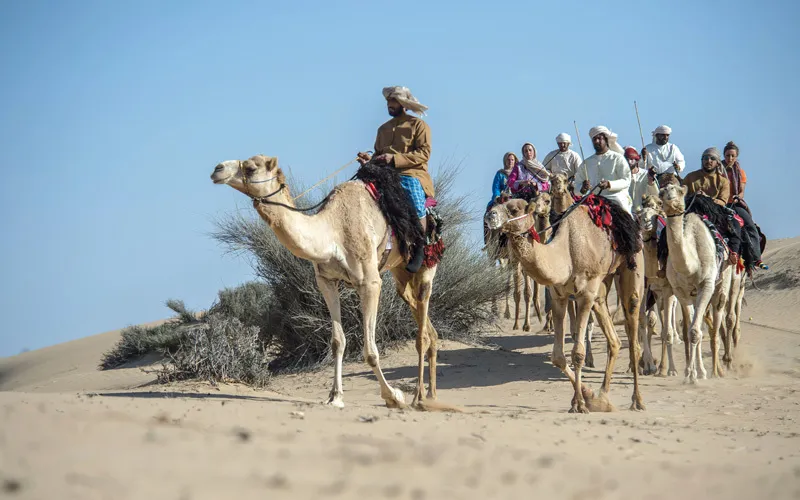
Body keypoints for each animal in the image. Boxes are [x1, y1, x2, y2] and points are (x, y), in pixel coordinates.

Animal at [212, 156, 444, 410]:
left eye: (251, 167)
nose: (217, 169)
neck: (332, 233)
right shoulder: (326, 281)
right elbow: (337, 341)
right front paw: (335, 397)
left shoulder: (370, 282)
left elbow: (370, 351)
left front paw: (393, 396)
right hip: (400, 273)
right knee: (425, 325)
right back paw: (431, 394)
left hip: (425, 268)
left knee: (421, 332)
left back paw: (418, 397)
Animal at [484, 197, 648, 412]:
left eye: (514, 209)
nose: (489, 215)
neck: (565, 253)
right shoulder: (559, 297)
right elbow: (557, 357)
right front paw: (586, 395)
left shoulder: (585, 295)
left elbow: (577, 353)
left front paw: (579, 404)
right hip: (601, 289)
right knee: (614, 340)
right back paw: (602, 399)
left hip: (632, 264)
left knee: (634, 329)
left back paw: (637, 400)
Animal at [656, 184, 732, 382]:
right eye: (662, 192)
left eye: (679, 191)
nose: (671, 200)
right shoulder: (680, 291)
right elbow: (691, 330)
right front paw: (691, 374)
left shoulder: (706, 285)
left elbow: (695, 331)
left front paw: (693, 376)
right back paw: (701, 370)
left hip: (722, 283)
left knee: (716, 319)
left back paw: (714, 371)